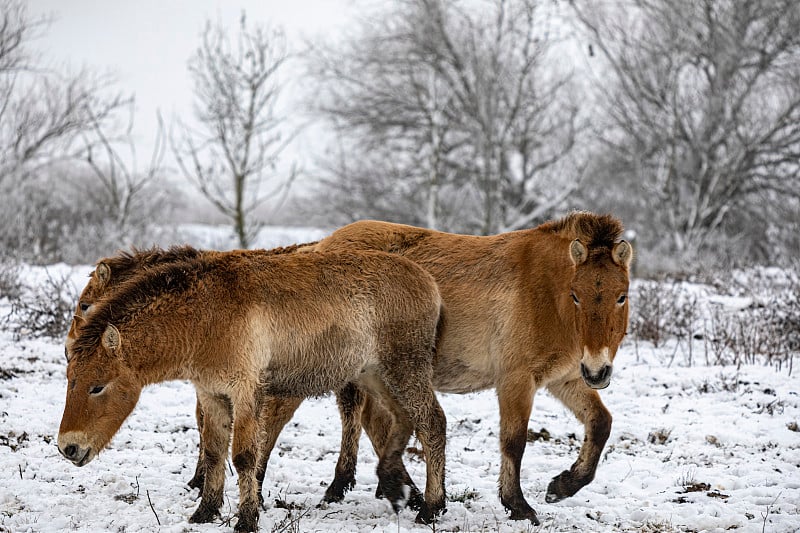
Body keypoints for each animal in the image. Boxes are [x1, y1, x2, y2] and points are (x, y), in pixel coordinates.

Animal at [57, 248, 450, 528]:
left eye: (97, 387)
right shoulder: (212, 394)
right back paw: (393, 484)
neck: (204, 315)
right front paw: (205, 512)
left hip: (404, 369)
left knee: (432, 423)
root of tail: (428, 281)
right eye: (71, 381)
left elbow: (245, 455)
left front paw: (246, 520)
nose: (68, 448)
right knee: (402, 420)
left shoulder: (245, 392)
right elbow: (213, 451)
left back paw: (431, 508)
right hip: (375, 375)